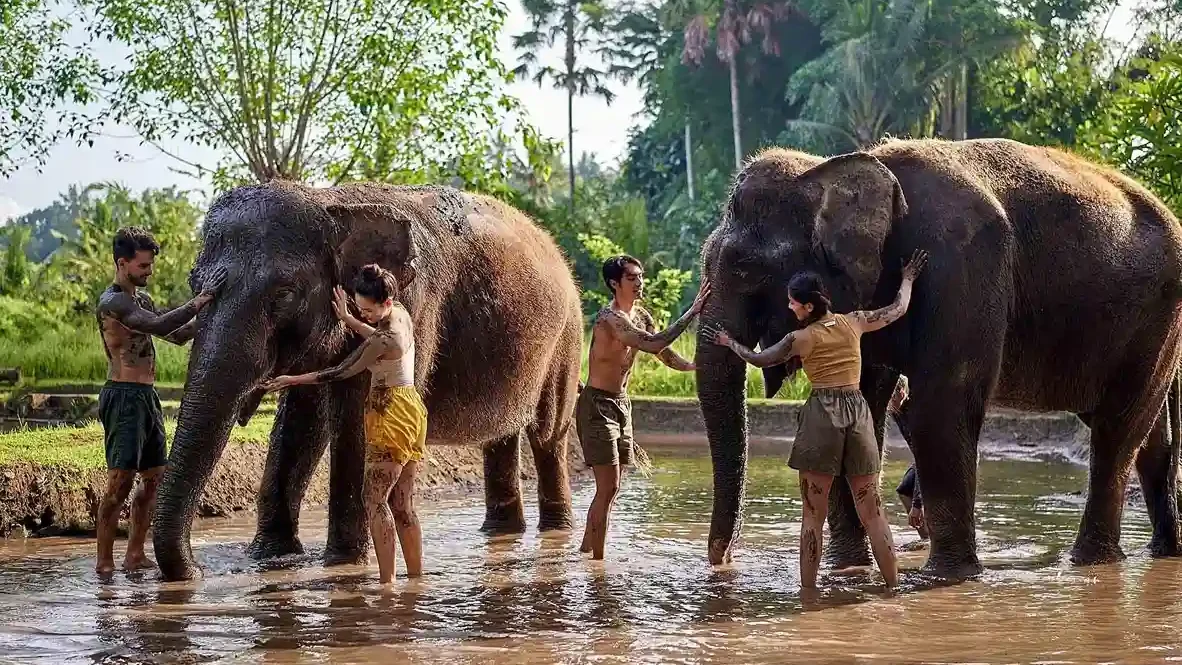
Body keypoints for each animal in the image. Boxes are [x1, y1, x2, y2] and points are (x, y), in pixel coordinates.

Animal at [152, 179, 586, 581]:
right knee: (502, 437)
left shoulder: (416, 305)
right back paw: (502, 532)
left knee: (548, 435)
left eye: (284, 294)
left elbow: (359, 412)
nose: (199, 571)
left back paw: (555, 532)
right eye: (194, 284)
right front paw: (272, 557)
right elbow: (301, 420)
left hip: (568, 336)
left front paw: (341, 563)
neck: (334, 202)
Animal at [695, 138, 1182, 581]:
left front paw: (947, 578)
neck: (836, 166)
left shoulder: (960, 266)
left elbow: (940, 406)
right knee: (1148, 437)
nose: (724, 560)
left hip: (1156, 317)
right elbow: (865, 405)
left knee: (1117, 430)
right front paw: (849, 570)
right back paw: (1162, 552)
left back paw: (1089, 562)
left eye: (743, 267)